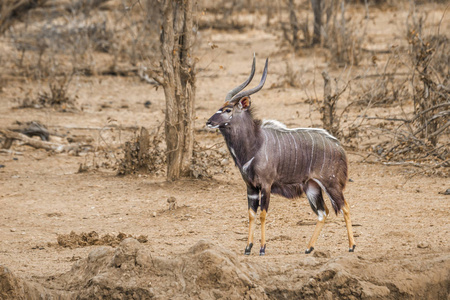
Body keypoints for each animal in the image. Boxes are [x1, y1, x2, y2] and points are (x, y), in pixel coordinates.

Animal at [206, 57, 356, 256]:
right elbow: (251, 214)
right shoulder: (250, 187)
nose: (209, 122)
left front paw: (262, 248)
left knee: (344, 207)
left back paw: (352, 246)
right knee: (323, 212)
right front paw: (248, 248)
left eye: (228, 110)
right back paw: (309, 248)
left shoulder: (266, 185)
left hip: (331, 184)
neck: (255, 144)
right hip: (312, 187)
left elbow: (262, 214)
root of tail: (339, 147)